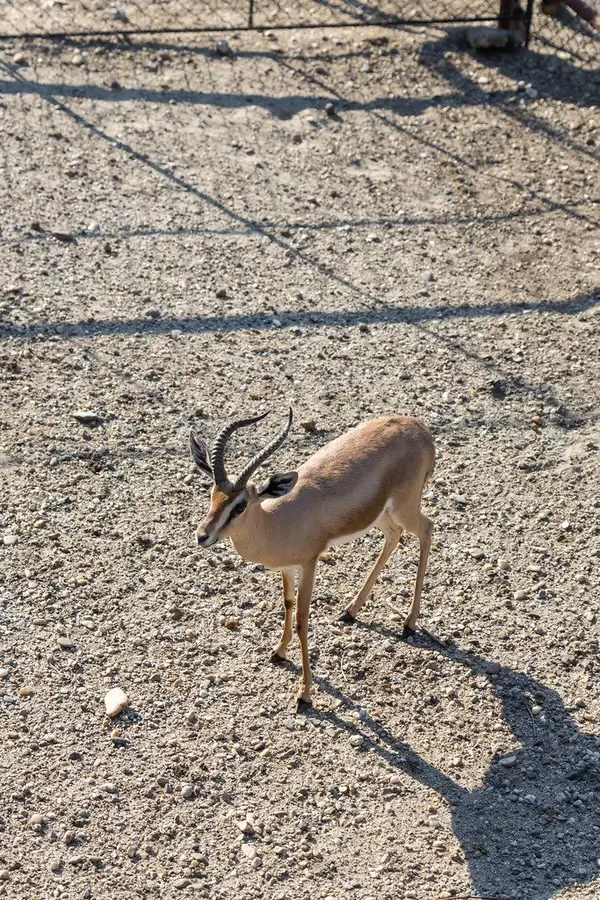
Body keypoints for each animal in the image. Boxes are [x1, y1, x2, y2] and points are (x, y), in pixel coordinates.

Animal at [189, 409, 435, 706]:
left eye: (240, 506)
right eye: (212, 495)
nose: (203, 535)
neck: (276, 523)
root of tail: (419, 428)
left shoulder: (309, 563)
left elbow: (301, 619)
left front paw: (304, 693)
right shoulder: (287, 567)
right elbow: (287, 604)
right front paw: (279, 652)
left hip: (404, 508)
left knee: (426, 529)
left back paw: (409, 623)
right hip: (383, 515)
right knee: (394, 535)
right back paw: (350, 611)